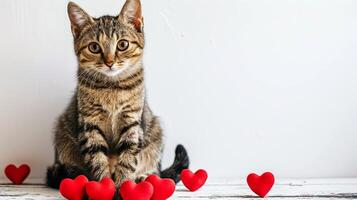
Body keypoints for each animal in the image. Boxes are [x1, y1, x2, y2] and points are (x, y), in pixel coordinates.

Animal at [46, 0, 189, 188]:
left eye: (122, 45)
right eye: (94, 47)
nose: (109, 62)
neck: (112, 87)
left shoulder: (132, 122)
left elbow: (128, 157)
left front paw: (123, 185)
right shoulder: (90, 124)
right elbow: (97, 158)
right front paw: (104, 185)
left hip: (156, 132)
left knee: (155, 169)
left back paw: (144, 177)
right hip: (61, 133)